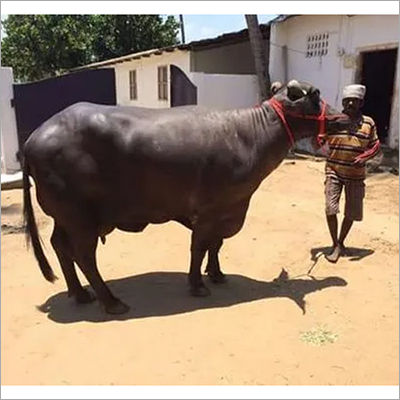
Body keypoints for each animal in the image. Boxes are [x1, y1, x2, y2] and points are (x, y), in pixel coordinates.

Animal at [23, 79, 352, 314]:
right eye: (315, 95)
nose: (344, 117)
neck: (250, 136)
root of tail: (33, 138)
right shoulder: (209, 211)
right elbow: (199, 247)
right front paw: (197, 284)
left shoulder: (227, 209)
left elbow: (215, 245)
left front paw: (216, 274)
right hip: (81, 219)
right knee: (84, 255)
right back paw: (111, 302)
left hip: (65, 217)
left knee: (60, 246)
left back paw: (80, 294)